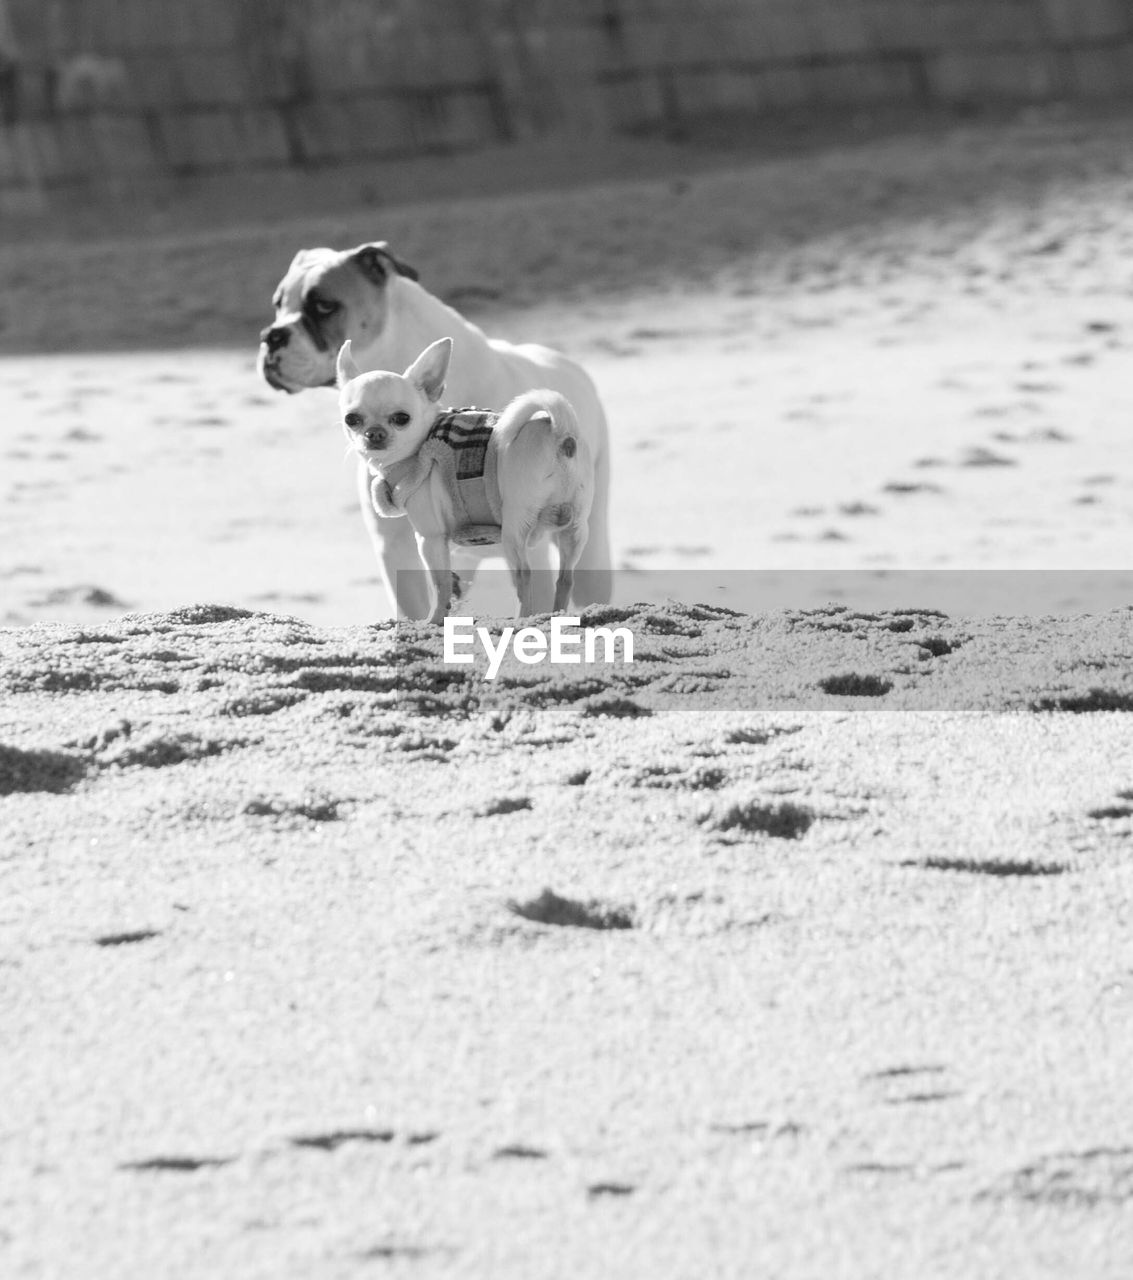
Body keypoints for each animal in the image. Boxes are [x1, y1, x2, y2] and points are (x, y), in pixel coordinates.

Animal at [258, 243, 609, 619]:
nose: (271, 335)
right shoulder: (399, 549)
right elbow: (423, 599)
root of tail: (560, 431)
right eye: (277, 305)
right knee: (562, 579)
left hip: (558, 537)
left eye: (324, 306)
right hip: (561, 530)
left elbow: (445, 586)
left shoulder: (432, 537)